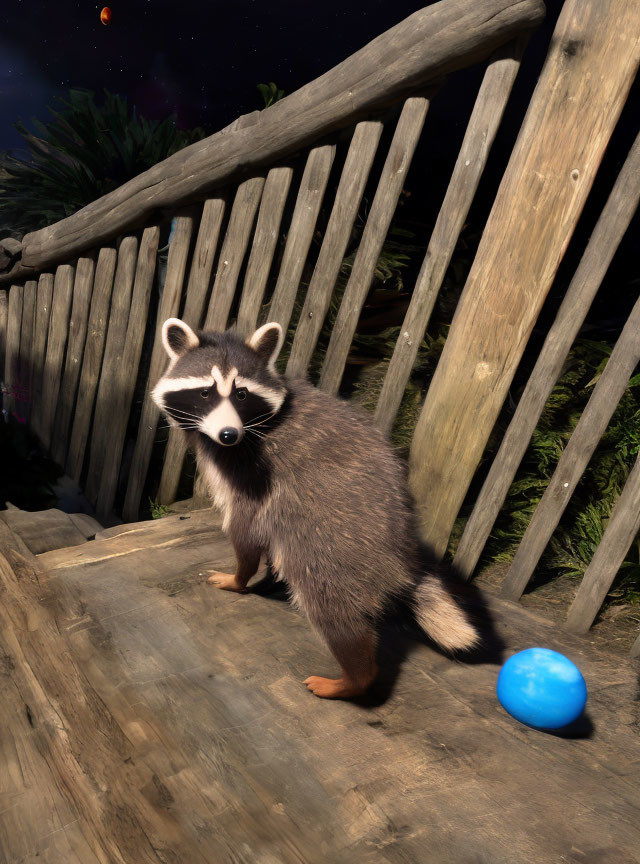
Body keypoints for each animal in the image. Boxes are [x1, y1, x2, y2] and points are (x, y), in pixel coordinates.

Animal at [152, 320, 478, 700]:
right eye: (206, 393)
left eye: (241, 394)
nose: (229, 433)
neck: (251, 428)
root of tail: (401, 556)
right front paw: (264, 575)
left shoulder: (250, 474)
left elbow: (246, 530)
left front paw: (240, 577)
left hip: (336, 546)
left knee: (331, 606)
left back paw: (354, 678)